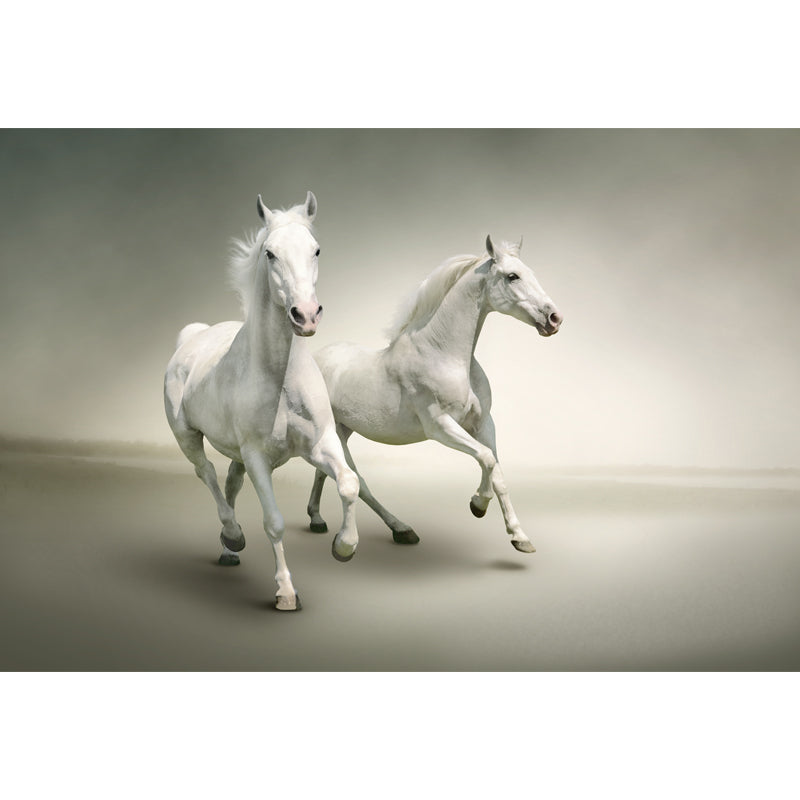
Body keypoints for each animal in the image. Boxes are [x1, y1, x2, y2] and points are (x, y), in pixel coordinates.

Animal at [164, 192, 360, 611]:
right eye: (270, 253)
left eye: (316, 249)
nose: (306, 315)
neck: (280, 378)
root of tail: (193, 337)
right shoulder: (257, 458)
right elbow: (274, 522)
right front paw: (286, 592)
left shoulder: (320, 443)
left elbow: (349, 483)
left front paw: (344, 546)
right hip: (187, 436)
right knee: (206, 473)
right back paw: (233, 535)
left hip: (236, 453)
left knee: (230, 482)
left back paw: (228, 549)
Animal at [305, 235, 562, 554]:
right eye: (512, 276)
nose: (554, 318)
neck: (443, 354)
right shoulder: (440, 426)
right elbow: (486, 459)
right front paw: (478, 504)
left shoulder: (483, 424)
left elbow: (498, 472)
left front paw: (519, 537)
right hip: (336, 434)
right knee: (357, 481)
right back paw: (398, 529)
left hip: (342, 430)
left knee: (325, 472)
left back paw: (317, 519)